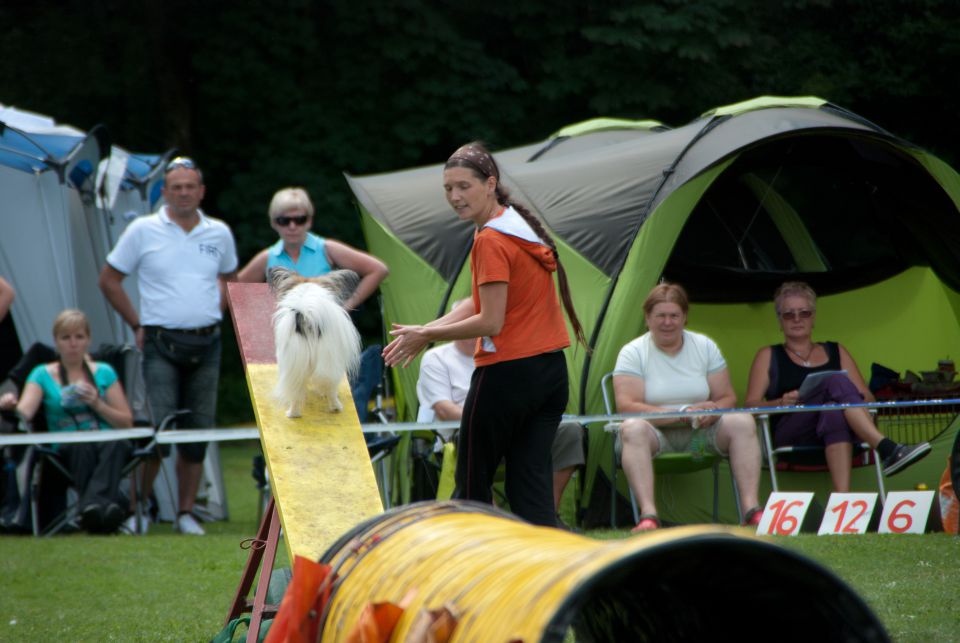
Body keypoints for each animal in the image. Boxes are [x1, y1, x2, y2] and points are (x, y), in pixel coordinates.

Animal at [270, 266, 364, 418]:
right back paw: (335, 407)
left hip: (292, 360)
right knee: (329, 386)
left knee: (295, 390)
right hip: (329, 359)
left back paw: (292, 413)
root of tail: (306, 315)